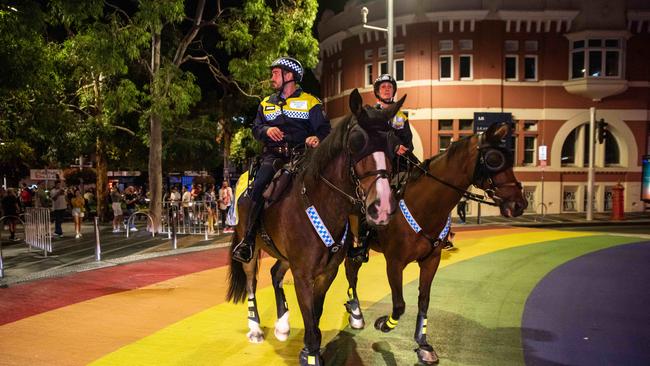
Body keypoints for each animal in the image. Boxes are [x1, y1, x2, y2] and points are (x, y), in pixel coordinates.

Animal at [225, 89, 402, 366]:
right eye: (356, 142)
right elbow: (309, 321)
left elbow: (315, 317)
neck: (321, 202)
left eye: (392, 145)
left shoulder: (325, 273)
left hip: (284, 255)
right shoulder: (302, 275)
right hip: (250, 247)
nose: (382, 206)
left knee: (275, 273)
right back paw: (255, 328)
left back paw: (282, 324)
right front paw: (310, 354)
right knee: (252, 282)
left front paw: (309, 349)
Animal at [344, 123, 528, 364]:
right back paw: (356, 314)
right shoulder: (394, 262)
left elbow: (424, 300)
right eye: (494, 159)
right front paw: (385, 323)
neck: (424, 205)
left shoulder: (431, 260)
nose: (519, 204)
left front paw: (423, 344)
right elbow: (399, 304)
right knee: (351, 272)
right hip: (353, 247)